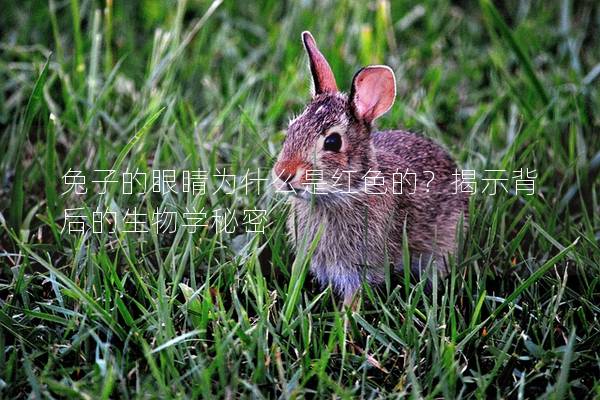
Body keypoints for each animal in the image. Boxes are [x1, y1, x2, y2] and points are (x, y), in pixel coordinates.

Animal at [272, 32, 468, 306]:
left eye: (332, 142)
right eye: (291, 129)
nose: (283, 174)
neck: (346, 192)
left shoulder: (359, 269)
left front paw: (347, 316)